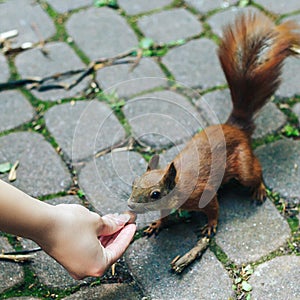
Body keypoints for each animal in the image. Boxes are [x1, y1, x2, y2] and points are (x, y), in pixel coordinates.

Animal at [127, 11, 300, 237]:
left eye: (155, 194)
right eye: (134, 182)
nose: (130, 205)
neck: (179, 184)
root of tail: (236, 127)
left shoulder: (204, 193)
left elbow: (214, 209)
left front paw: (210, 225)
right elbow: (164, 214)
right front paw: (157, 224)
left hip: (243, 165)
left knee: (256, 171)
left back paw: (259, 188)